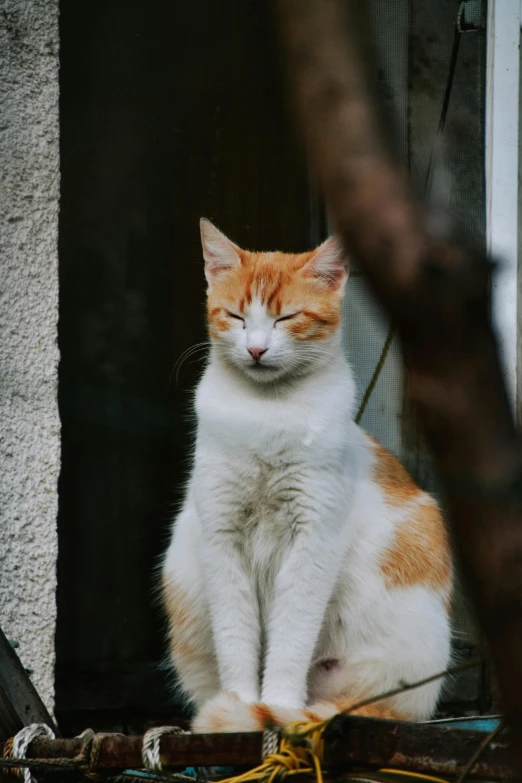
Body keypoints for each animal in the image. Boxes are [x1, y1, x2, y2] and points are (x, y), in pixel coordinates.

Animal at [161, 220, 450, 736]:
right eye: (236, 316)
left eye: (286, 318)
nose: (256, 348)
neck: (266, 413)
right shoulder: (222, 538)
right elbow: (236, 637)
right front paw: (240, 703)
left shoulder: (312, 539)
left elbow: (292, 636)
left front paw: (276, 704)